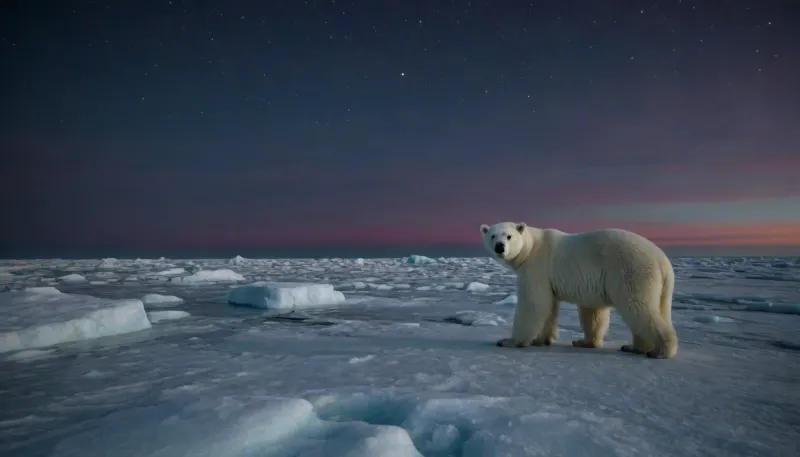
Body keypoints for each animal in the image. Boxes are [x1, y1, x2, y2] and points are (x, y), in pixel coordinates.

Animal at [480, 222, 678, 359]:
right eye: (492, 235)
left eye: (509, 236)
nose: (500, 247)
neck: (531, 247)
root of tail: (664, 262)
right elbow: (553, 307)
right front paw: (543, 340)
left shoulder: (537, 267)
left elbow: (534, 302)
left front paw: (509, 341)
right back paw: (629, 346)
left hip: (632, 271)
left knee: (638, 307)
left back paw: (660, 350)